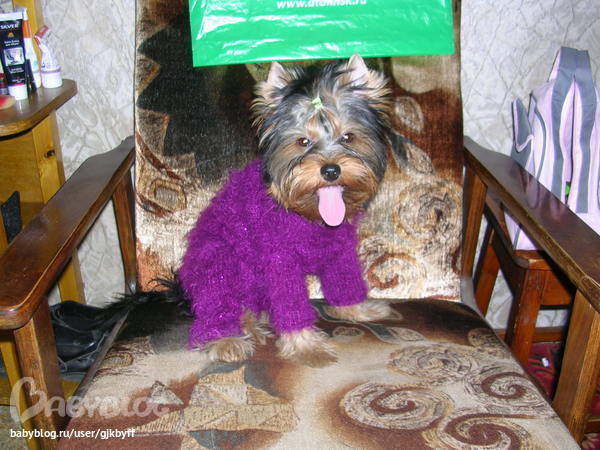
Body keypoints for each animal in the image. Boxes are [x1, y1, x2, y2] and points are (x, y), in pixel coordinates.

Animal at [116, 55, 393, 367]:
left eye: (348, 137)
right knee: (216, 306)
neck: (308, 214)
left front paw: (357, 309)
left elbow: (344, 281)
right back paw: (227, 338)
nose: (331, 169)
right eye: (303, 142)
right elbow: (291, 304)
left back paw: (251, 321)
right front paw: (306, 346)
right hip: (219, 263)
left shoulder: (339, 249)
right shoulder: (280, 259)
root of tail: (182, 289)